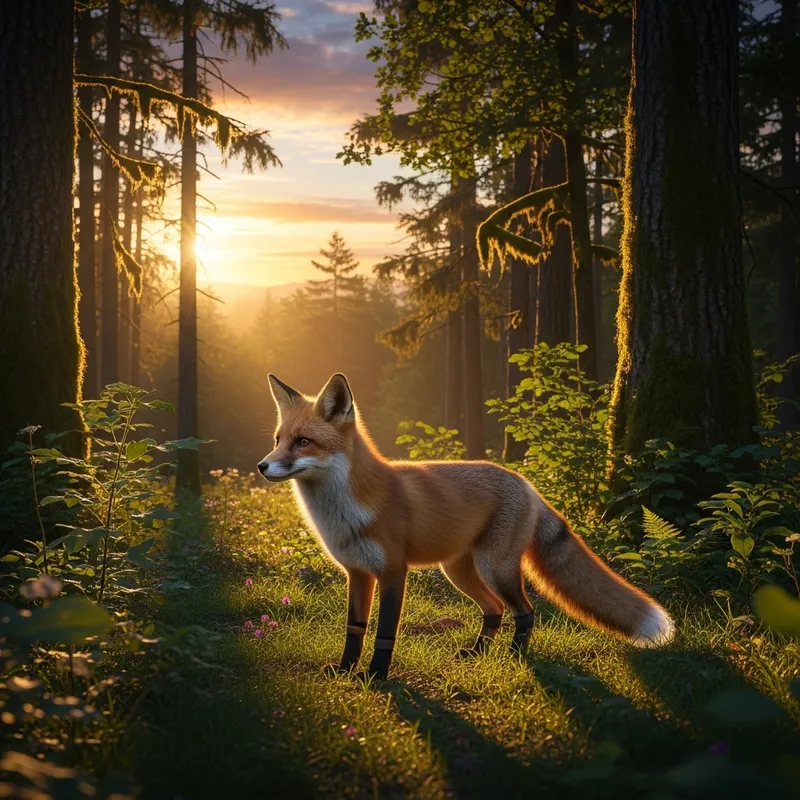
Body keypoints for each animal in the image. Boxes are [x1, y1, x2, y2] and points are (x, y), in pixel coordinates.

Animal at [257, 372, 675, 681]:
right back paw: (477, 653)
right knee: (494, 610)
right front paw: (344, 670)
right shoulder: (357, 573)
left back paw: (514, 657)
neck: (347, 509)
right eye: (278, 440)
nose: (262, 465)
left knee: (524, 610)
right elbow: (355, 629)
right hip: (458, 571)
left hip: (496, 568)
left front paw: (375, 677)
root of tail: (525, 482)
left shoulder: (393, 571)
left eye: (303, 442)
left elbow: (384, 633)